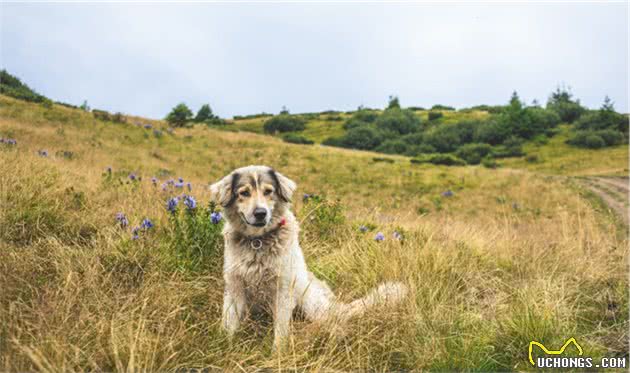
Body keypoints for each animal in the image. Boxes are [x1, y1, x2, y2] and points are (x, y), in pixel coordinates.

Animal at [211, 164, 410, 348]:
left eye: (268, 191)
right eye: (244, 193)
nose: (260, 213)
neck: (258, 241)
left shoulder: (283, 289)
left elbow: (280, 329)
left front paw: (277, 354)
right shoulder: (235, 286)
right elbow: (230, 322)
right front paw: (225, 345)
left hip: (309, 300)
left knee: (331, 322)